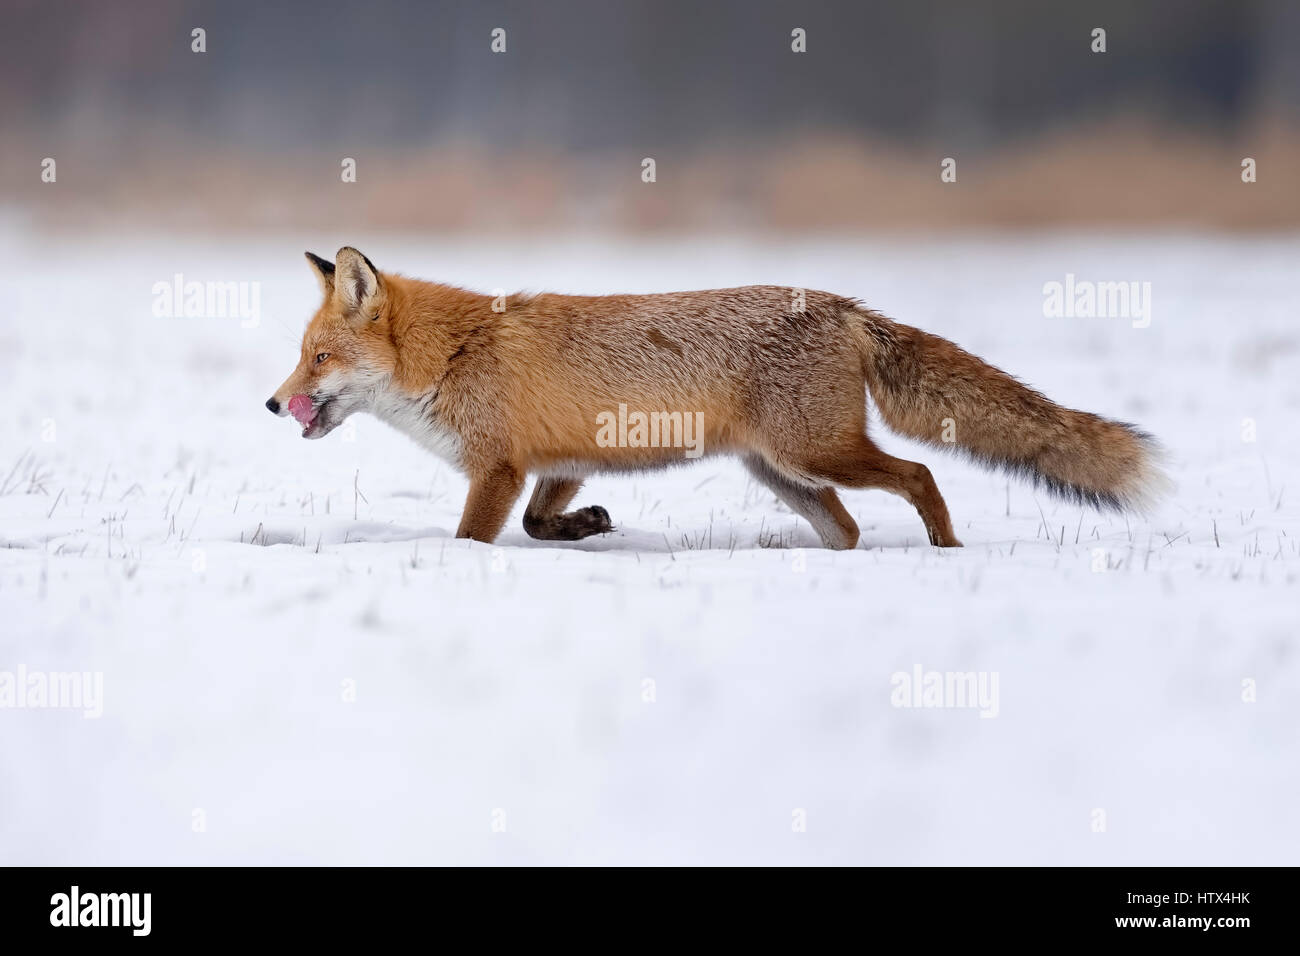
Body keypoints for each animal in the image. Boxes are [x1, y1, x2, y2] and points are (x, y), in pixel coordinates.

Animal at [267, 247, 1168, 549]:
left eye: (317, 358)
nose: (273, 406)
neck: (453, 355)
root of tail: (844, 306)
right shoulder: (561, 460)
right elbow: (541, 521)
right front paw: (587, 527)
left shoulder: (499, 468)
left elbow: (477, 537)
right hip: (784, 473)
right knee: (845, 528)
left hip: (814, 452)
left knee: (919, 475)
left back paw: (944, 549)